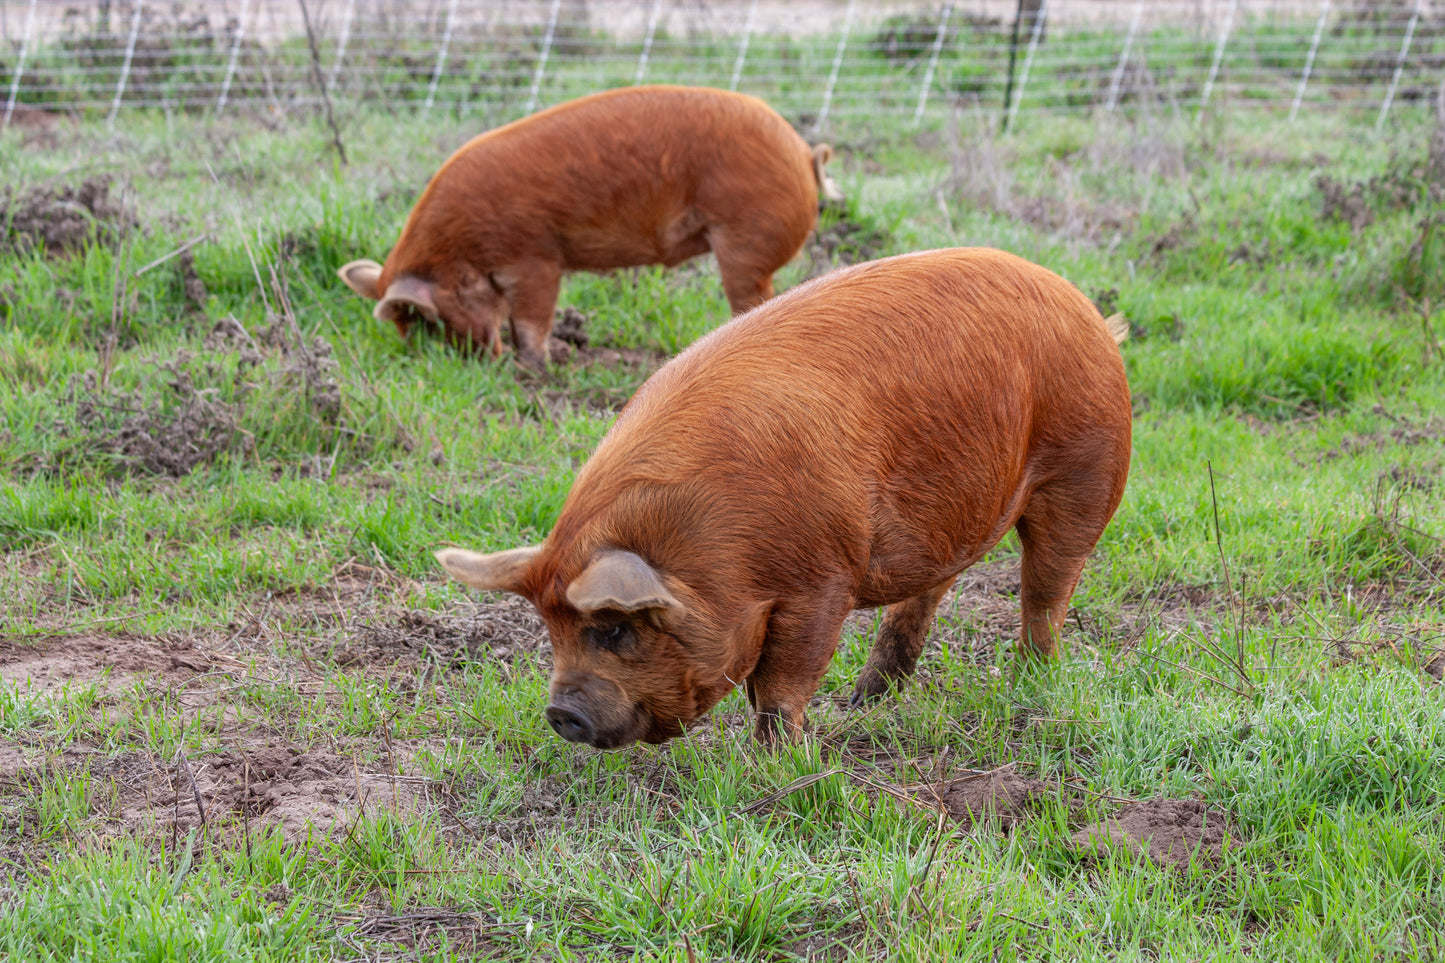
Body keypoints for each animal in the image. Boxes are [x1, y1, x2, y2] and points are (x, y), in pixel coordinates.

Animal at [333, 85, 843, 367]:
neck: (461, 249)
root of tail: (803, 154)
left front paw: (534, 368)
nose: (472, 364)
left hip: (744, 240)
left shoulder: (535, 256)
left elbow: (533, 318)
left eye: (427, 322)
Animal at [433, 245, 1132, 740]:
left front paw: (783, 758)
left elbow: (781, 685)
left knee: (1046, 592)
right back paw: (866, 701)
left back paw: (1032, 683)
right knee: (932, 590)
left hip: (1087, 469)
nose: (561, 715)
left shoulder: (822, 580)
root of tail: (1092, 314)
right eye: (549, 629)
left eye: (612, 629)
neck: (712, 542)